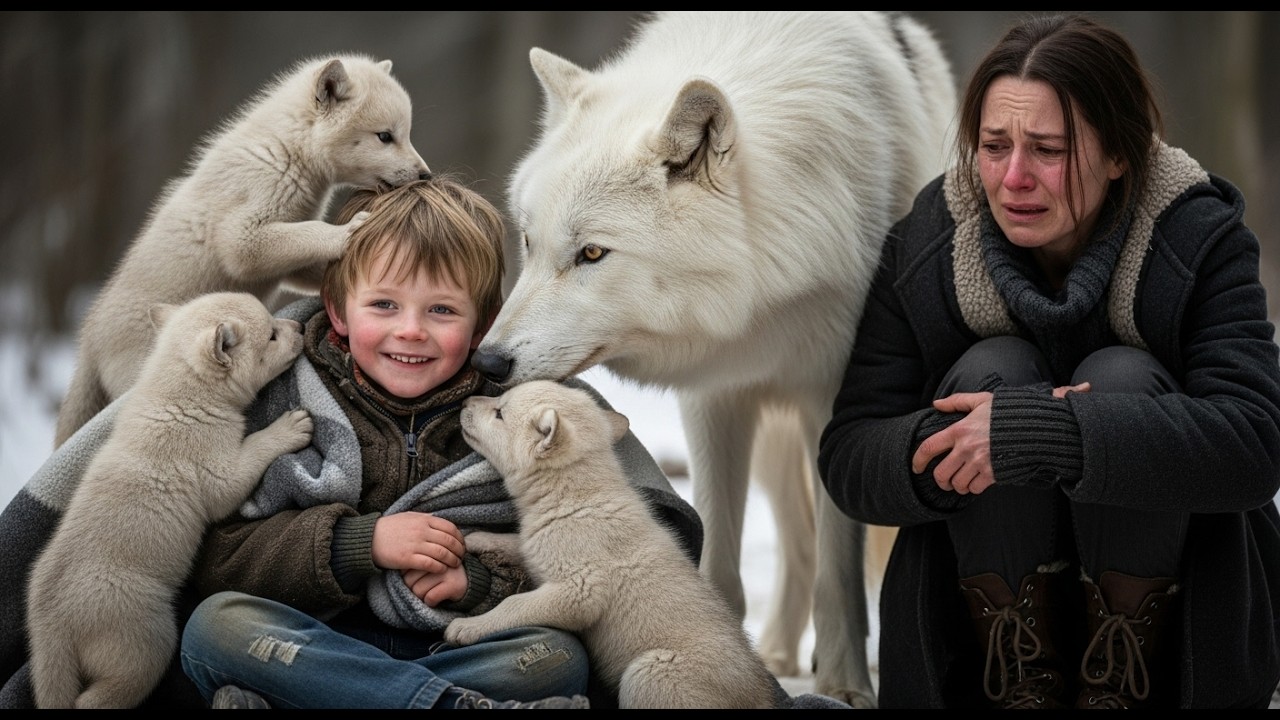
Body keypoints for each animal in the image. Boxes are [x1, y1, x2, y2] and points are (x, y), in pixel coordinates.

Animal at [27, 292, 313, 708]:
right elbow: (230, 481)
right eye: (272, 335)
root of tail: (51, 630)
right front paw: (292, 426)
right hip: (134, 622)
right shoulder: (203, 451)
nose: (299, 327)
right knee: (123, 679)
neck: (179, 393)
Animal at [53, 53, 430, 448]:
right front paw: (349, 232)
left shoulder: (288, 244)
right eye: (385, 135)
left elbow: (303, 256)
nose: (425, 175)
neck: (288, 150)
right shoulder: (251, 212)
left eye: (405, 132)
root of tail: (87, 343)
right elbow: (255, 245)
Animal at [450, 380, 778, 709]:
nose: (465, 402)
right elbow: (518, 543)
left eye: (499, 413)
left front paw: (468, 627)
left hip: (654, 672)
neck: (574, 494)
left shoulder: (582, 584)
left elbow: (518, 602)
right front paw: (474, 537)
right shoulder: (545, 542)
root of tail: (759, 700)